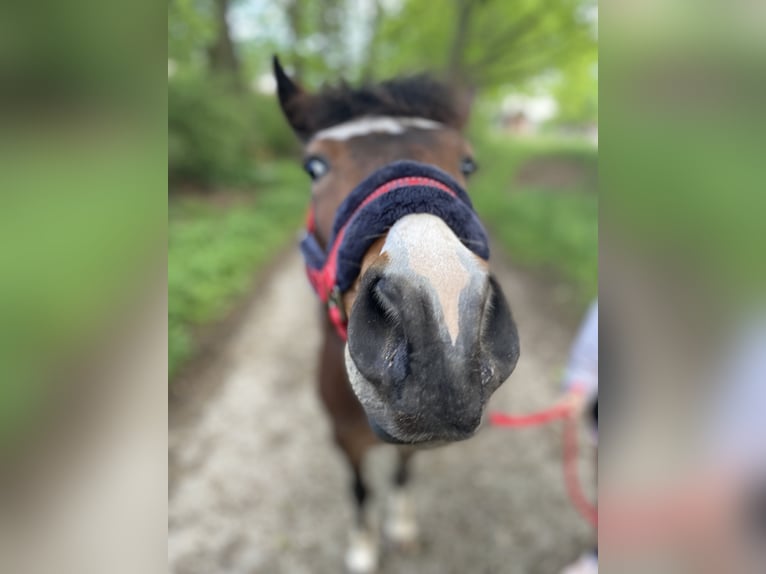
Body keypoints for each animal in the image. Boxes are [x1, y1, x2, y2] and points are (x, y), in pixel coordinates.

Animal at [273, 56, 520, 573]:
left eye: (467, 162)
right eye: (314, 166)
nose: (441, 338)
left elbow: (402, 475)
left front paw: (401, 527)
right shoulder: (343, 439)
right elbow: (360, 488)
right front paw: (364, 546)